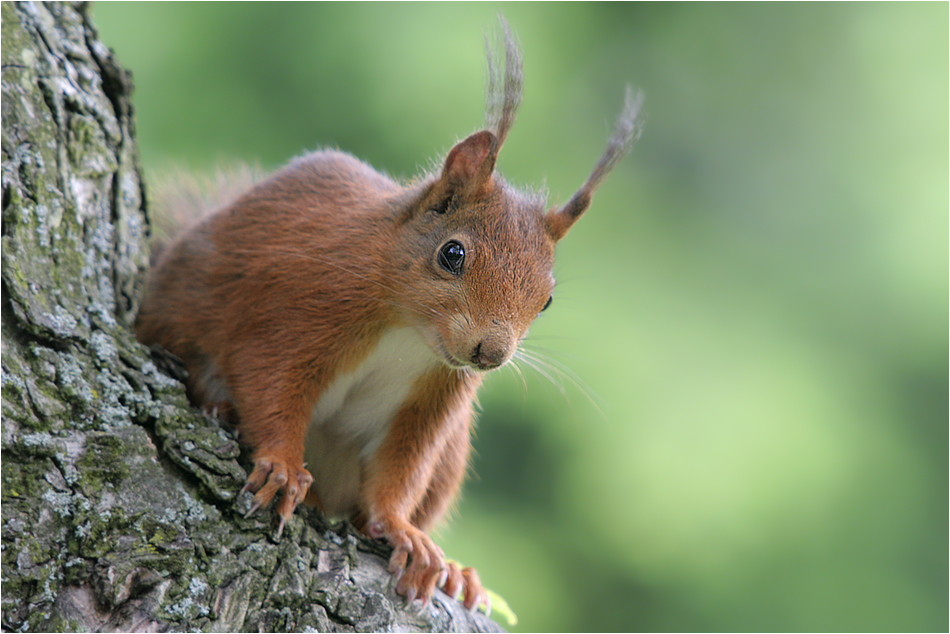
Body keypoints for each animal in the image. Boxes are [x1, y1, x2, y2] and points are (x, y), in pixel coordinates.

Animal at [136, 22, 640, 608]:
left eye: (548, 300)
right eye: (452, 254)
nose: (490, 354)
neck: (411, 333)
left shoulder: (434, 401)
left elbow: (401, 469)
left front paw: (405, 532)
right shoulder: (298, 312)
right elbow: (272, 384)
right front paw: (282, 466)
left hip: (452, 454)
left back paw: (459, 573)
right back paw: (219, 404)